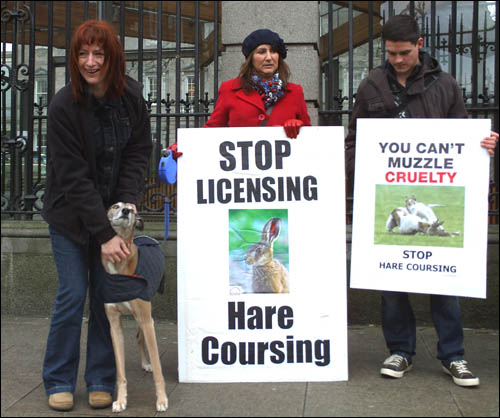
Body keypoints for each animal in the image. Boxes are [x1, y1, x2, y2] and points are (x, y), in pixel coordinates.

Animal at [101, 202, 168, 413]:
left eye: (131, 209)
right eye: (115, 206)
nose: (126, 211)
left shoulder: (146, 319)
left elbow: (158, 368)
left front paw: (161, 400)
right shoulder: (114, 324)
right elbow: (120, 372)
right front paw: (121, 400)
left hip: (147, 315)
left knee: (142, 336)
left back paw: (147, 363)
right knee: (139, 337)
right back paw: (144, 362)